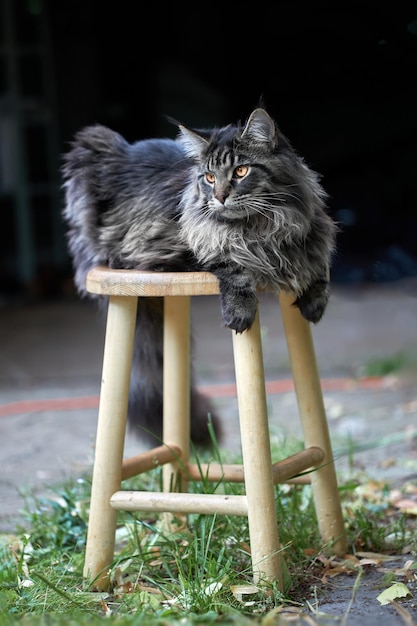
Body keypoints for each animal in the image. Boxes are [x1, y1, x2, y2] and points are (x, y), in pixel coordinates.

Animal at [61, 107, 334, 446]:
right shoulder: (173, 250)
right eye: (209, 177)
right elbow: (233, 263)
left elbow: (318, 263)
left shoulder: (313, 231)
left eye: (241, 171)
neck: (263, 227)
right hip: (92, 144)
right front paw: (240, 310)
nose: (219, 196)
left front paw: (314, 300)